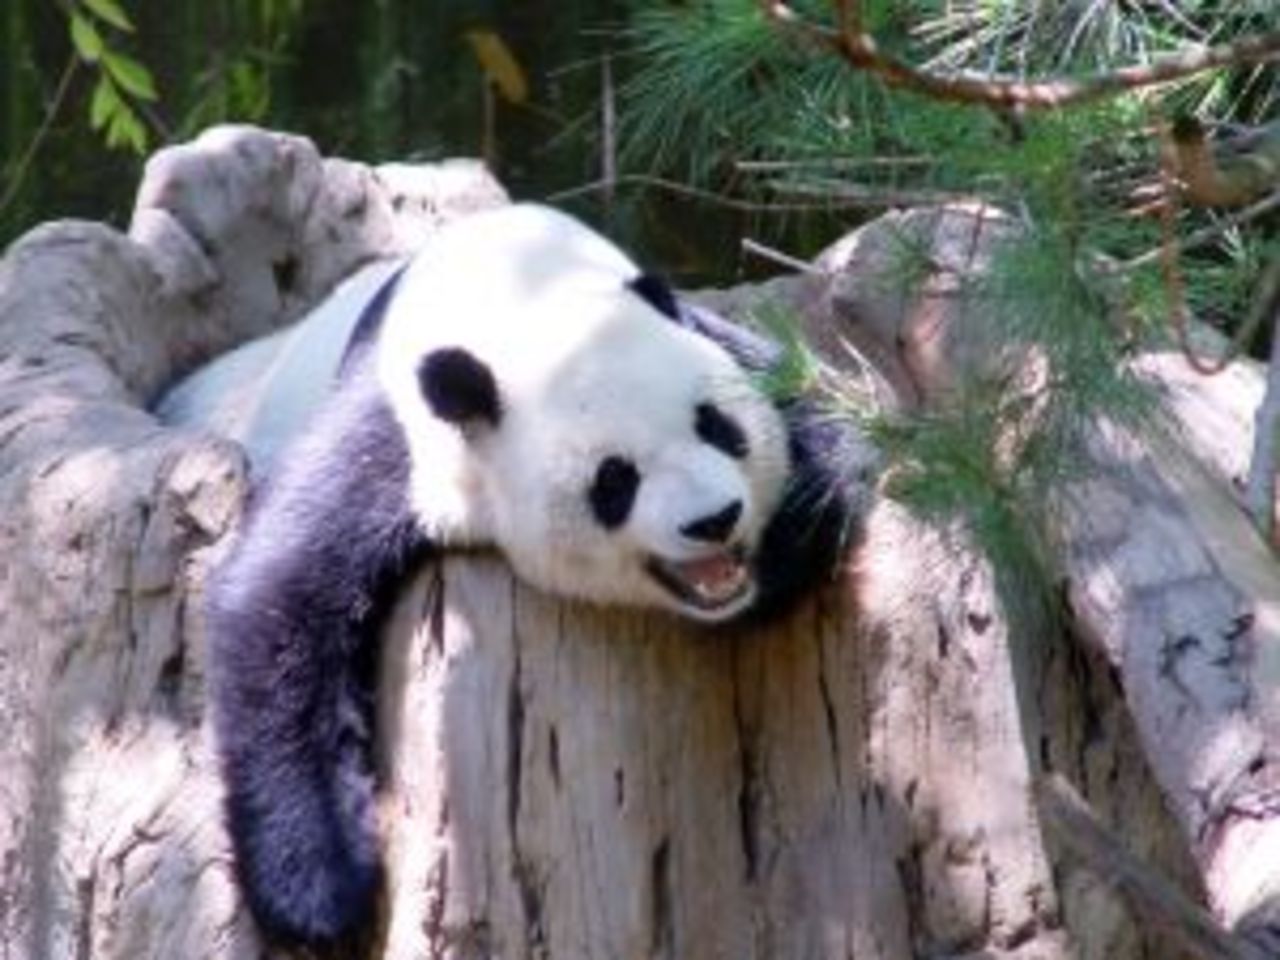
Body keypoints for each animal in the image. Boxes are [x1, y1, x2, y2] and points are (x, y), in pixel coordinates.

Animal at [200, 203, 864, 948]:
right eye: (615, 479)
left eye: (718, 427)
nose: (715, 520)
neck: (522, 294)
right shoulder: (400, 431)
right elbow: (278, 599)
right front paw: (318, 895)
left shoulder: (701, 330)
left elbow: (827, 410)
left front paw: (791, 530)